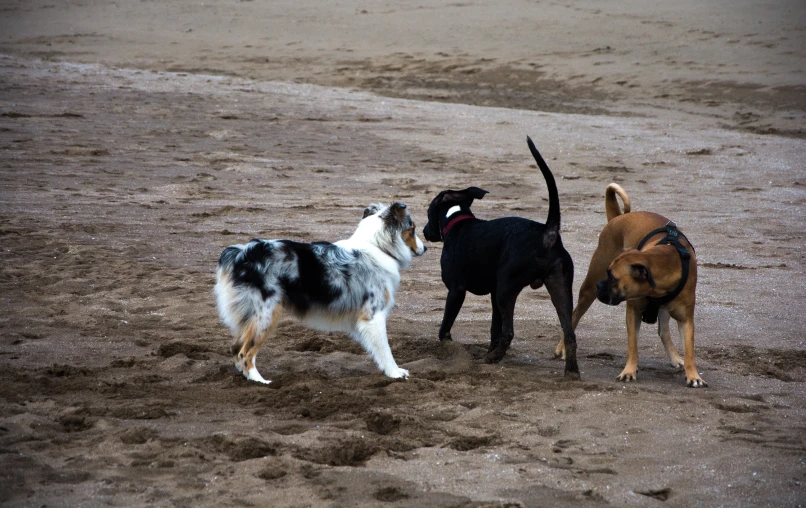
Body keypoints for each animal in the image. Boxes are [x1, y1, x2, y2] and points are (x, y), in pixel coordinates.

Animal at [422, 137, 580, 380]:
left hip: (507, 290)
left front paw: (448, 348)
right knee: (569, 333)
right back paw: (571, 372)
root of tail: (548, 233)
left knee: (510, 332)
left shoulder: (456, 290)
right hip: (559, 287)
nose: (424, 231)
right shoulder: (493, 293)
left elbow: (445, 327)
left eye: (428, 211)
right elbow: (493, 329)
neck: (457, 221)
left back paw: (493, 358)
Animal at [560, 185, 712, 386]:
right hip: (588, 289)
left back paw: (674, 357)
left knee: (663, 331)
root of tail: (618, 217)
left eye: (613, 277)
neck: (665, 260)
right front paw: (629, 371)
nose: (600, 285)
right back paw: (562, 348)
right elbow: (633, 345)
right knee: (574, 315)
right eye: (608, 274)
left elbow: (689, 350)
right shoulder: (633, 312)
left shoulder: (686, 320)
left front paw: (693, 375)